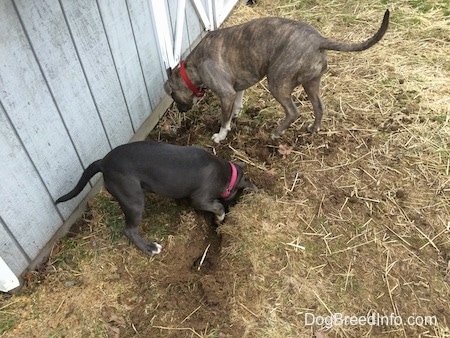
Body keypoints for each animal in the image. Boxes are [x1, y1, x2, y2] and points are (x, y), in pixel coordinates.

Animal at [55, 140, 256, 254]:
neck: (227, 174)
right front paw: (220, 217)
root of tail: (103, 162)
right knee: (129, 230)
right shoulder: (201, 199)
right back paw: (150, 248)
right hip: (133, 200)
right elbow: (217, 206)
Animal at [165, 10, 390, 143]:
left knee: (293, 111)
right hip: (311, 83)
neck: (190, 68)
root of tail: (319, 40)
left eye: (173, 96)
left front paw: (220, 135)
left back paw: (276, 133)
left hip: (277, 82)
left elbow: (224, 120)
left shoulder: (226, 93)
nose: (181, 110)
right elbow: (237, 102)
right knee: (319, 107)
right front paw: (236, 113)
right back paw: (313, 129)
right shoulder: (237, 87)